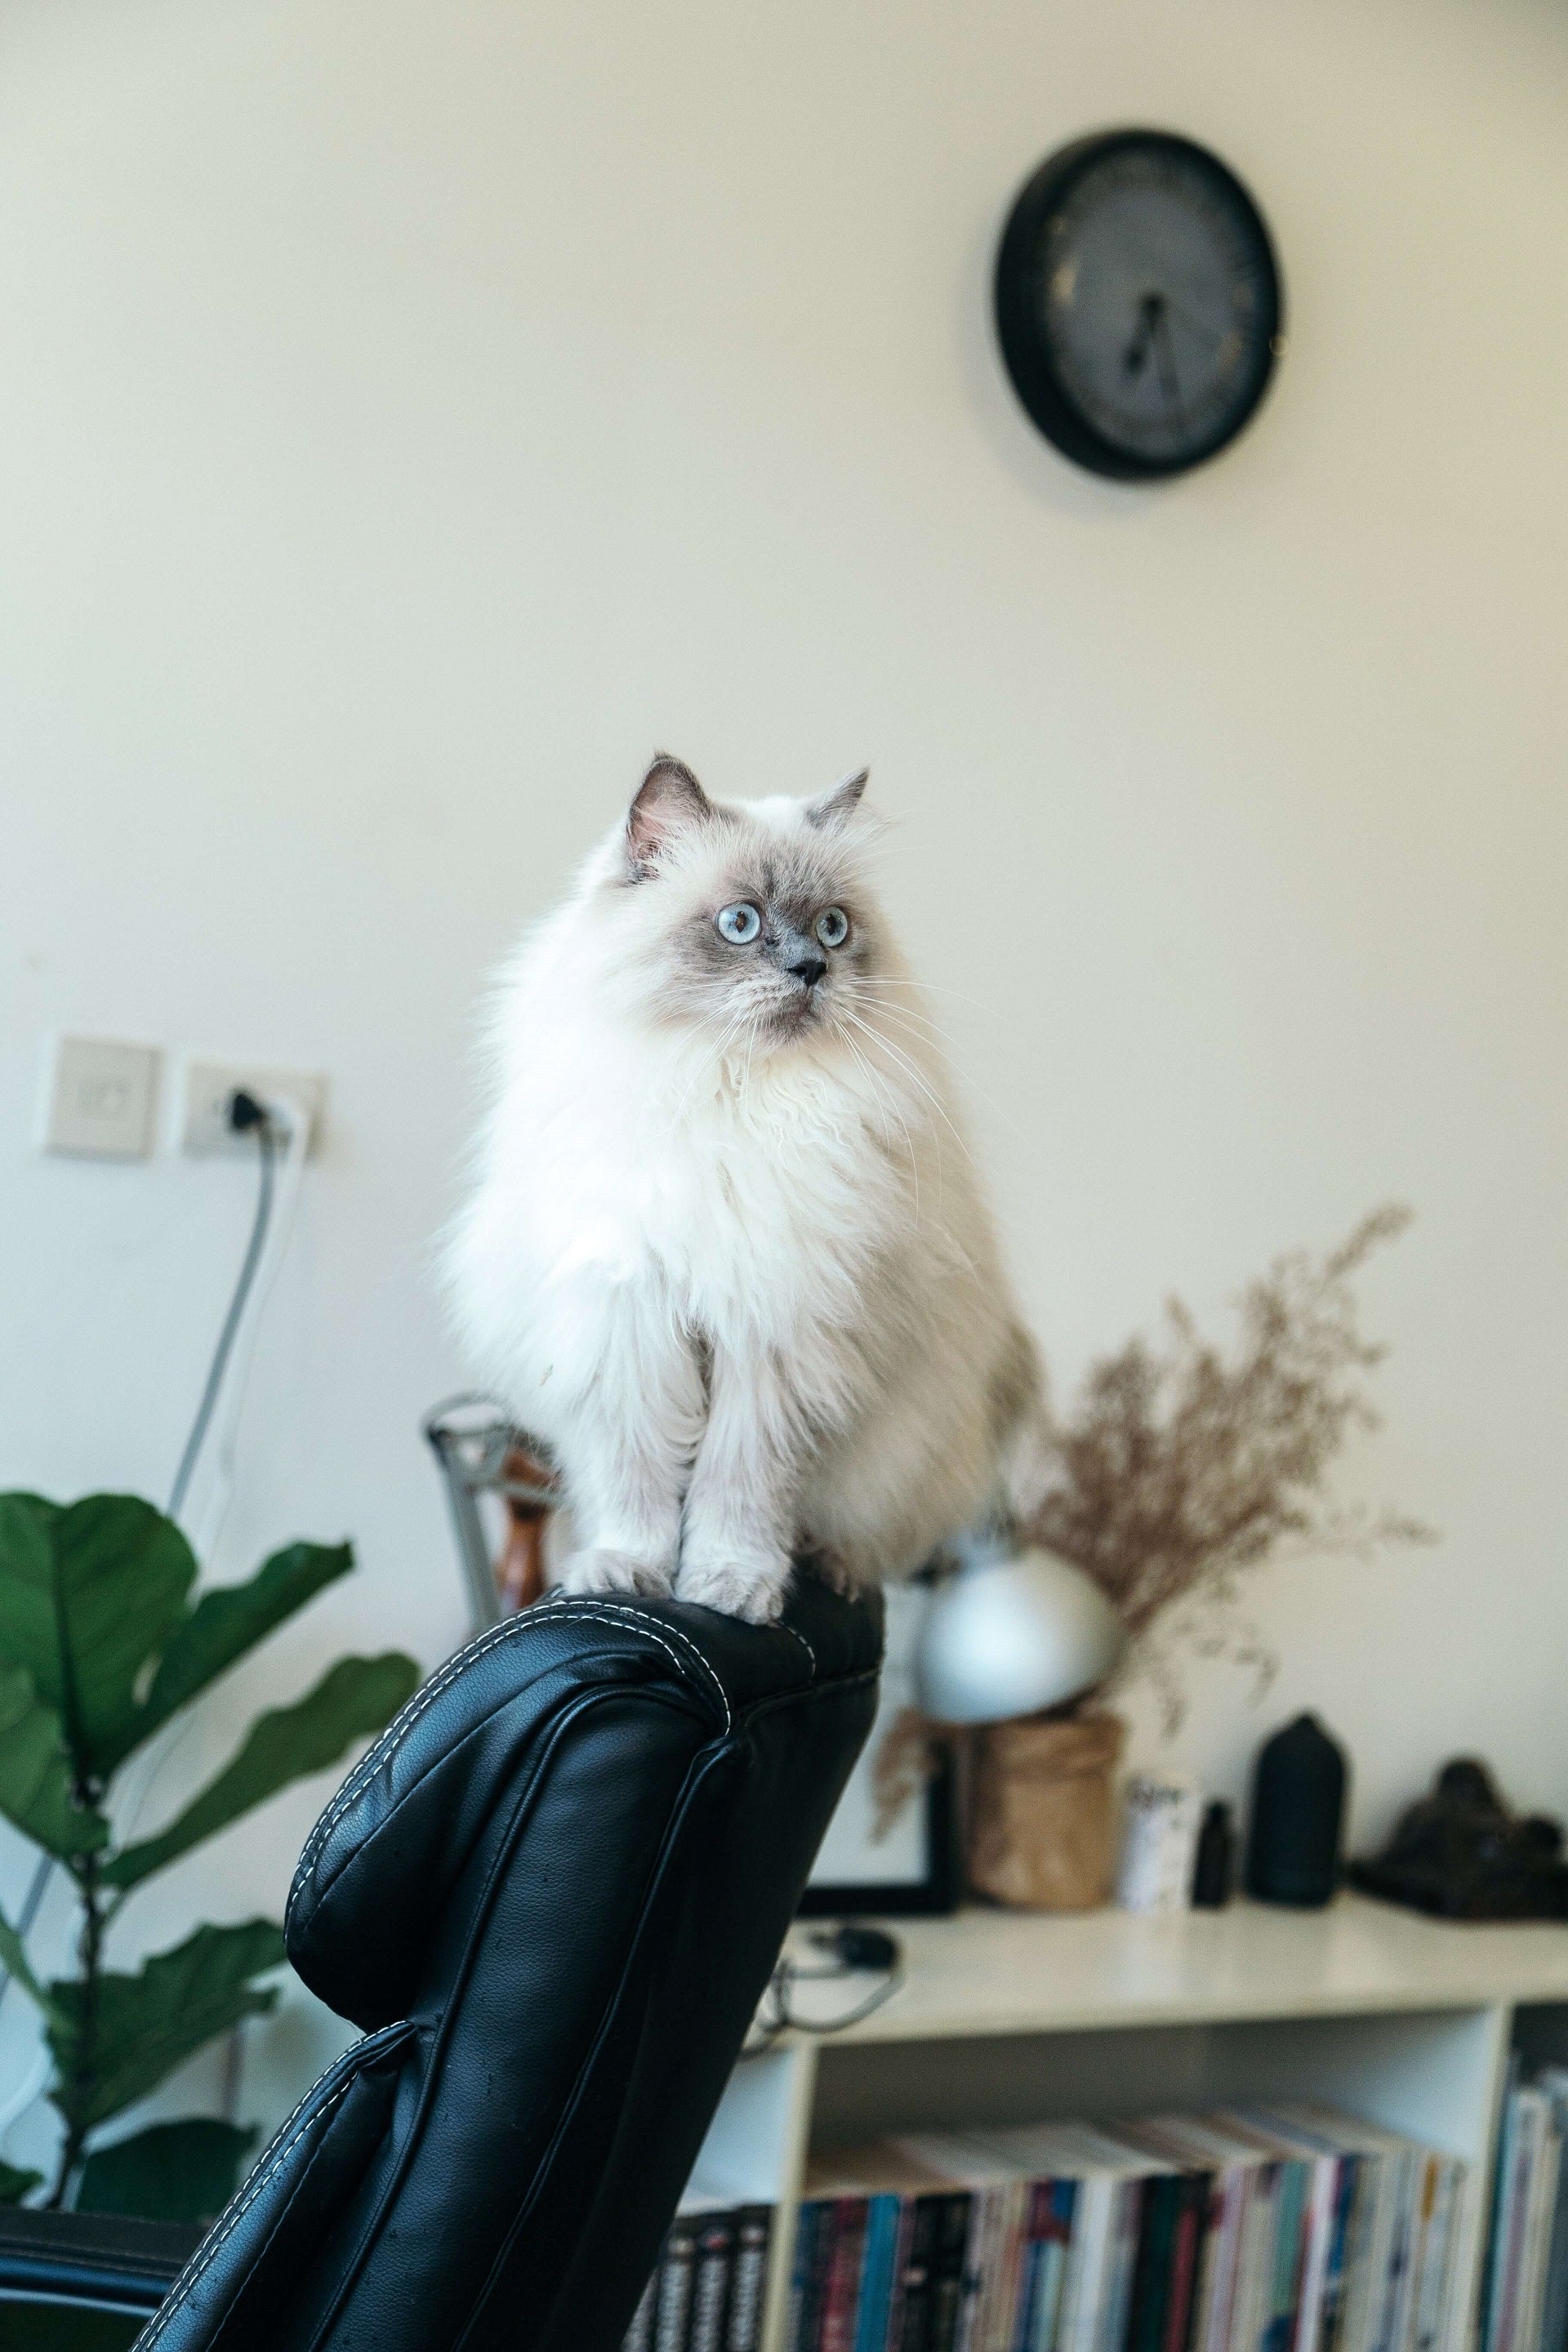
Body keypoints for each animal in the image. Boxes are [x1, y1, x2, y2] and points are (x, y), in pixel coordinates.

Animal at [444, 762, 1044, 1627]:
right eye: (740, 923)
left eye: (833, 928)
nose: (811, 970)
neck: (730, 1096)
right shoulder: (630, 1330)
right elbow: (639, 1494)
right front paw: (626, 1576)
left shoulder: (775, 1344)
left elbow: (739, 1495)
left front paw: (728, 1592)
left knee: (871, 1541)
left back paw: (832, 1570)